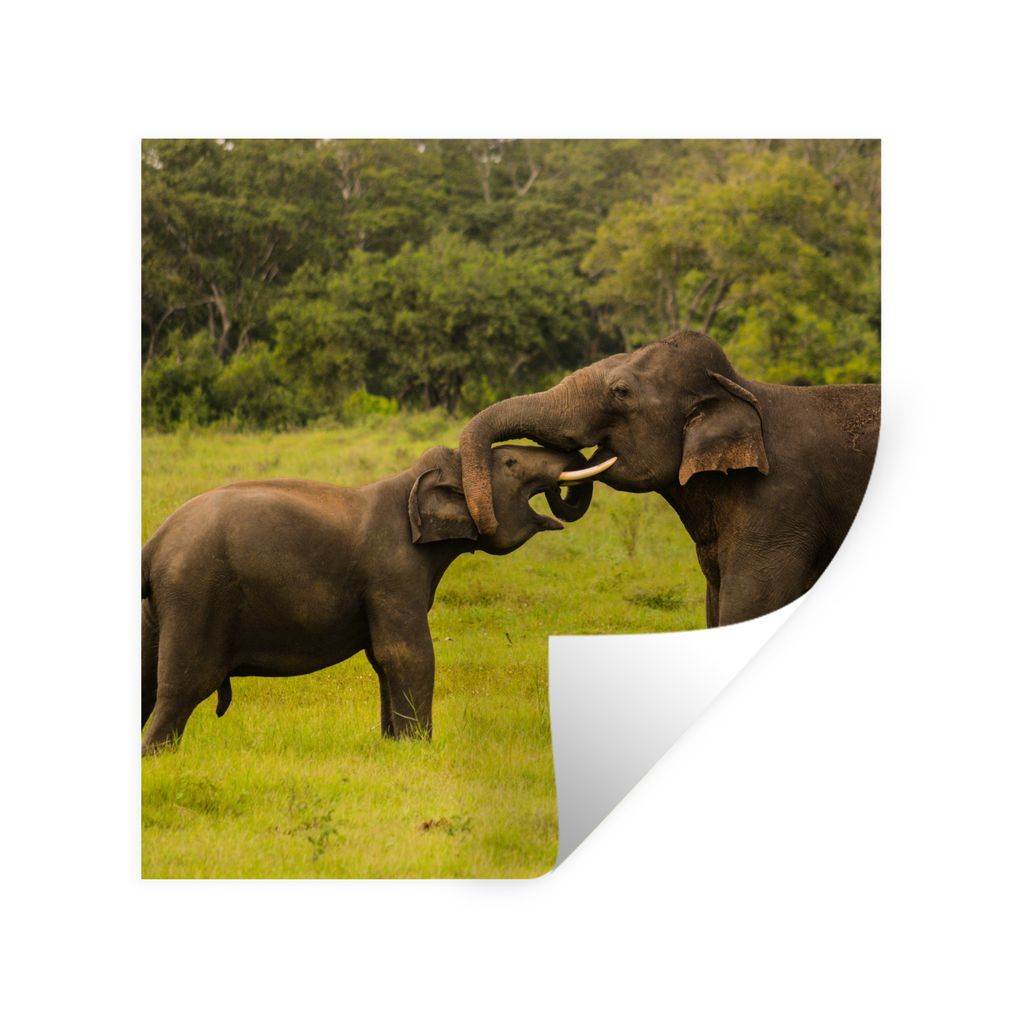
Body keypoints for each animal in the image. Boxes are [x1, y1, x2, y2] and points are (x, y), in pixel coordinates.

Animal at [140, 443, 614, 754]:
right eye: (512, 463)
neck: (409, 484)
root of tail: (155, 541)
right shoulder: (394, 569)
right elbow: (405, 652)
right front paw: (418, 752)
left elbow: (381, 659)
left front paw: (392, 748)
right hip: (197, 593)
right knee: (184, 686)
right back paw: (158, 758)